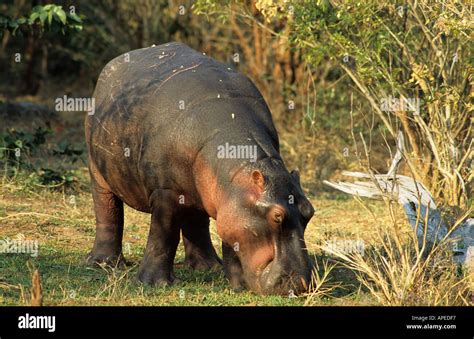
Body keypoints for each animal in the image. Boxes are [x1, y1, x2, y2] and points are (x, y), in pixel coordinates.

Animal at [85, 42, 314, 296]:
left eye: (310, 211)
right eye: (277, 216)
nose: (301, 284)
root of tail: (114, 62)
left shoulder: (230, 202)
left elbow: (231, 241)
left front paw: (237, 285)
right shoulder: (166, 192)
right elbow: (163, 236)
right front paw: (154, 284)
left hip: (199, 191)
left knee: (196, 222)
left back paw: (208, 267)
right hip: (98, 171)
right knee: (107, 211)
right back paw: (103, 263)